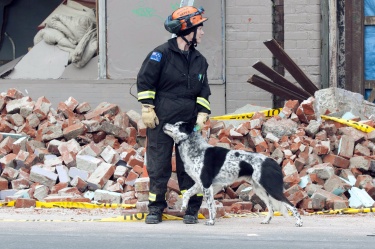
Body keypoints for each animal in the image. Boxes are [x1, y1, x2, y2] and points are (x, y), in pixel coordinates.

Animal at [163, 121, 304, 227]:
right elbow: (187, 194)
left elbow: (210, 206)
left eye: (177, 125)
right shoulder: (200, 184)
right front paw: (183, 206)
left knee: (291, 205)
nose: (164, 123)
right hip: (260, 190)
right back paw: (266, 220)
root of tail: (273, 162)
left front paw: (211, 221)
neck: (196, 150)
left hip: (272, 189)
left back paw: (299, 222)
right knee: (271, 207)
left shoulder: (206, 185)